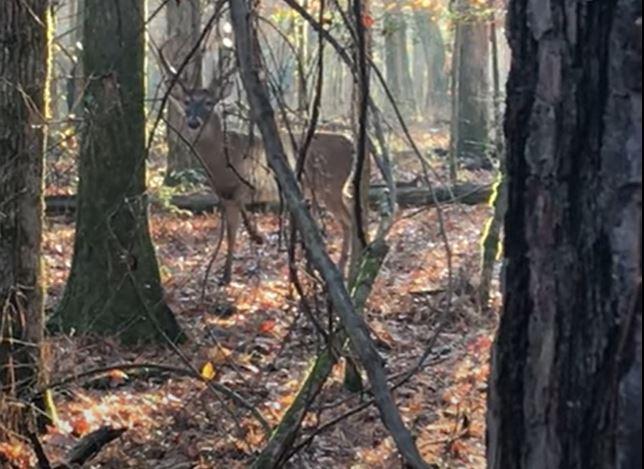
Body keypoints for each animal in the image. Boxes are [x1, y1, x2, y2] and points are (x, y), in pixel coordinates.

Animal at [158, 42, 364, 284]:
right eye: (187, 102)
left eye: (209, 103)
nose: (193, 122)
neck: (221, 160)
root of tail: (351, 144)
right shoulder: (223, 194)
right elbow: (229, 231)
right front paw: (229, 270)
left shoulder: (244, 186)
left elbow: (236, 224)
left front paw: (232, 269)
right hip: (336, 188)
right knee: (352, 211)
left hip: (329, 186)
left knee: (348, 221)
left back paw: (343, 270)